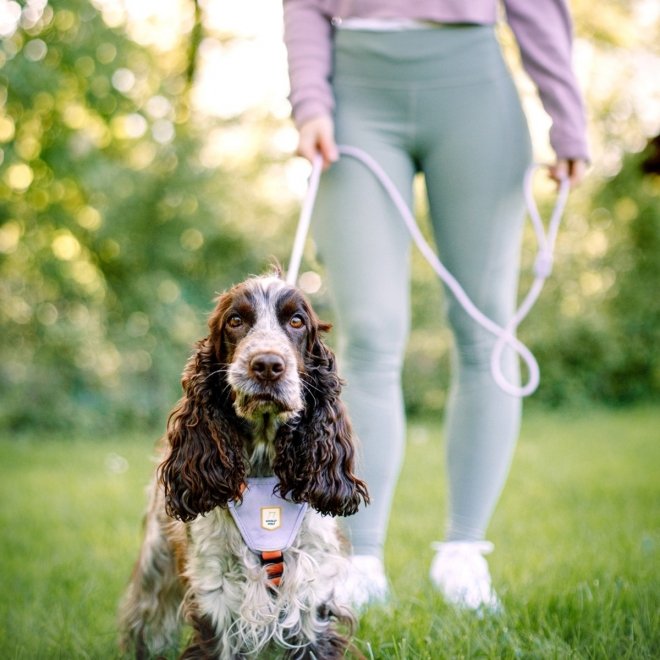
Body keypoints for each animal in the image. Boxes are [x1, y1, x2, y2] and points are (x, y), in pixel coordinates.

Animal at [116, 274, 368, 660]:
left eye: (297, 321)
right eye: (235, 320)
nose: (267, 365)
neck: (264, 468)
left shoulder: (311, 598)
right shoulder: (215, 600)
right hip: (154, 569)